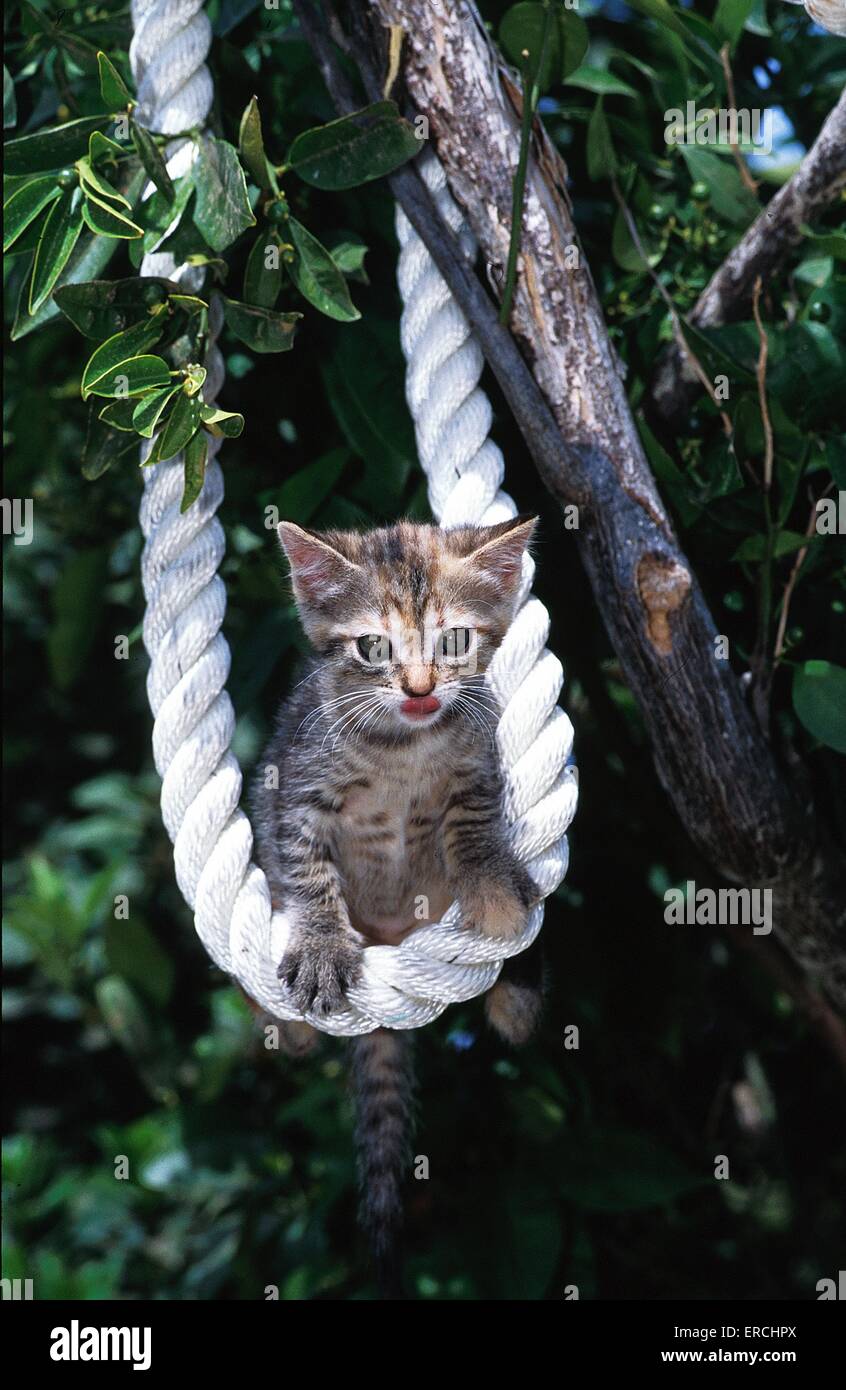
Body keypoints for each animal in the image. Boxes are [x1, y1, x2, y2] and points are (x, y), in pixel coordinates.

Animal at [247, 517, 544, 1295]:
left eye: (454, 640)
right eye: (373, 647)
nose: (418, 687)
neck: (402, 747)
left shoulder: (477, 769)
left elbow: (474, 829)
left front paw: (492, 883)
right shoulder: (293, 789)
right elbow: (306, 869)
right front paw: (322, 944)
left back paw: (518, 991)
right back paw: (284, 1024)